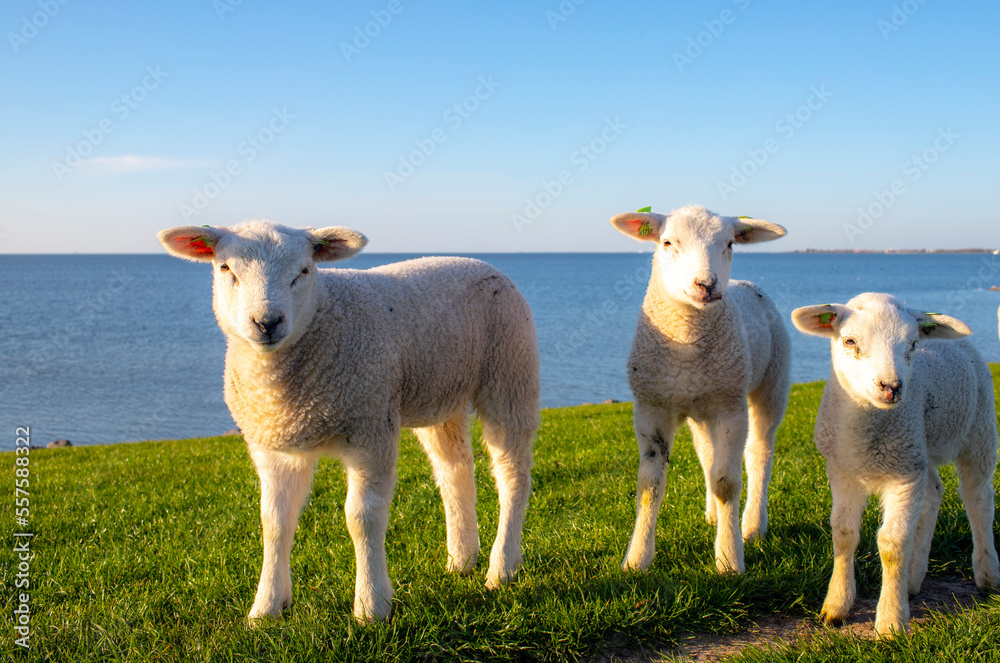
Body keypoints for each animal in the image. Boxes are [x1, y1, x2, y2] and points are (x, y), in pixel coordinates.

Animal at [157, 220, 540, 624]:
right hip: (441, 394)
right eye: (225, 268)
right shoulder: (273, 445)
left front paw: (371, 606)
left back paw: (502, 567)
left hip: (510, 371)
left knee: (513, 474)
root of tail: (479, 262)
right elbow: (274, 522)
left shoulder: (370, 429)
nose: (267, 322)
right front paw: (266, 607)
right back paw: (462, 558)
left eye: (304, 271)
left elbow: (361, 518)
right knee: (455, 470)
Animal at [610, 205, 791, 575]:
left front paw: (729, 558)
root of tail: (744, 284)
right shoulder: (650, 409)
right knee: (708, 454)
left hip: (770, 385)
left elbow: (727, 483)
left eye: (730, 244)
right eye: (667, 243)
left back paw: (752, 525)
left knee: (759, 454)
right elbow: (649, 485)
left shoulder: (731, 408)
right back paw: (714, 516)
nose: (706, 285)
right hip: (703, 406)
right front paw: (637, 559)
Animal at [792, 293, 999, 636]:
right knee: (934, 493)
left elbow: (892, 544)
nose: (891, 387)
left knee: (978, 500)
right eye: (849, 340)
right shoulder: (843, 470)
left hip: (978, 430)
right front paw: (836, 606)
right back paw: (913, 580)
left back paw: (987, 575)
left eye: (913, 344)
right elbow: (844, 534)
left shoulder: (904, 476)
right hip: (919, 448)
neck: (866, 434)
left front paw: (890, 622)